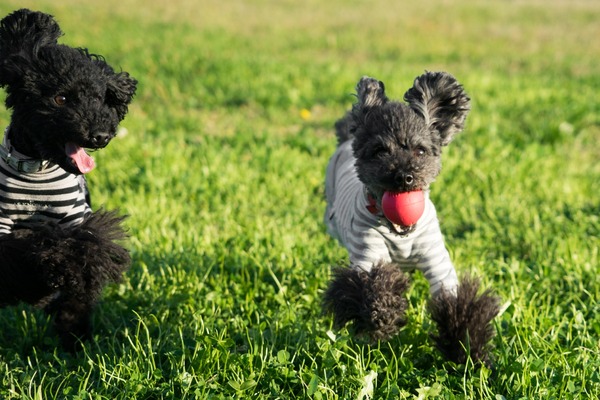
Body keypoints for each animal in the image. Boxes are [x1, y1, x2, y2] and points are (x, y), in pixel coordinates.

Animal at [0, 9, 136, 352]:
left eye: (100, 98)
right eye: (61, 98)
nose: (101, 136)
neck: (35, 170)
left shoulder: (76, 220)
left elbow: (84, 251)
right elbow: (19, 254)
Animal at [324, 72, 502, 366]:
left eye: (420, 151)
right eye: (380, 151)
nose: (404, 177)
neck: (402, 233)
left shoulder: (437, 259)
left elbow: (453, 302)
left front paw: (466, 349)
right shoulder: (367, 253)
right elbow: (371, 287)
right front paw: (383, 316)